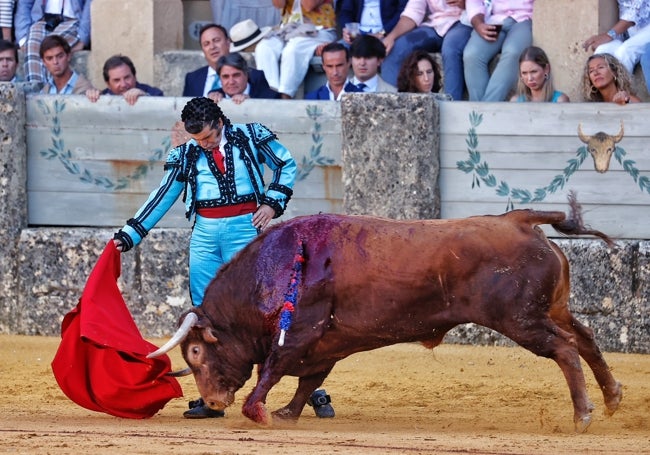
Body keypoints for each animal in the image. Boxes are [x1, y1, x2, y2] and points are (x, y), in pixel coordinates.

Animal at [149, 207, 620, 434]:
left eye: (196, 350)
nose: (212, 402)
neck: (271, 269)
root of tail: (520, 221)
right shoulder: (325, 344)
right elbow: (306, 381)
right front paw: (286, 414)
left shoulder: (299, 334)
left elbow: (272, 370)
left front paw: (258, 412)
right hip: (551, 310)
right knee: (586, 339)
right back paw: (613, 398)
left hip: (521, 320)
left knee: (565, 349)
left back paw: (583, 416)